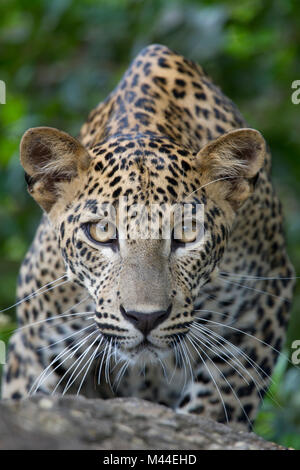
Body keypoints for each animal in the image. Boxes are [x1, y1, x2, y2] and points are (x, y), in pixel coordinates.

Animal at [1, 45, 294, 430]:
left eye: (187, 234)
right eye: (101, 233)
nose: (145, 318)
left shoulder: (259, 313)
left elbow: (215, 407)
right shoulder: (34, 350)